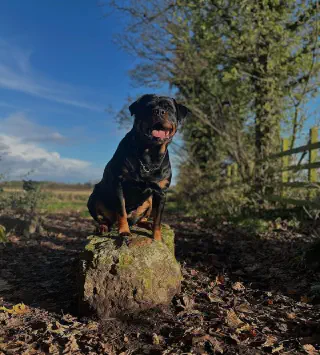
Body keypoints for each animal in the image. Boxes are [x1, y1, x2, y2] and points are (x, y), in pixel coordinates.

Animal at [87, 94, 190, 242]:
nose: (159, 111)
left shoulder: (161, 192)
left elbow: (158, 219)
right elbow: (121, 211)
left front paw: (157, 237)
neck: (149, 156)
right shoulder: (119, 184)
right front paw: (124, 232)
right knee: (106, 219)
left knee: (142, 219)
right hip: (94, 197)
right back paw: (102, 227)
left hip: (149, 201)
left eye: (169, 108)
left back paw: (147, 224)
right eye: (148, 107)